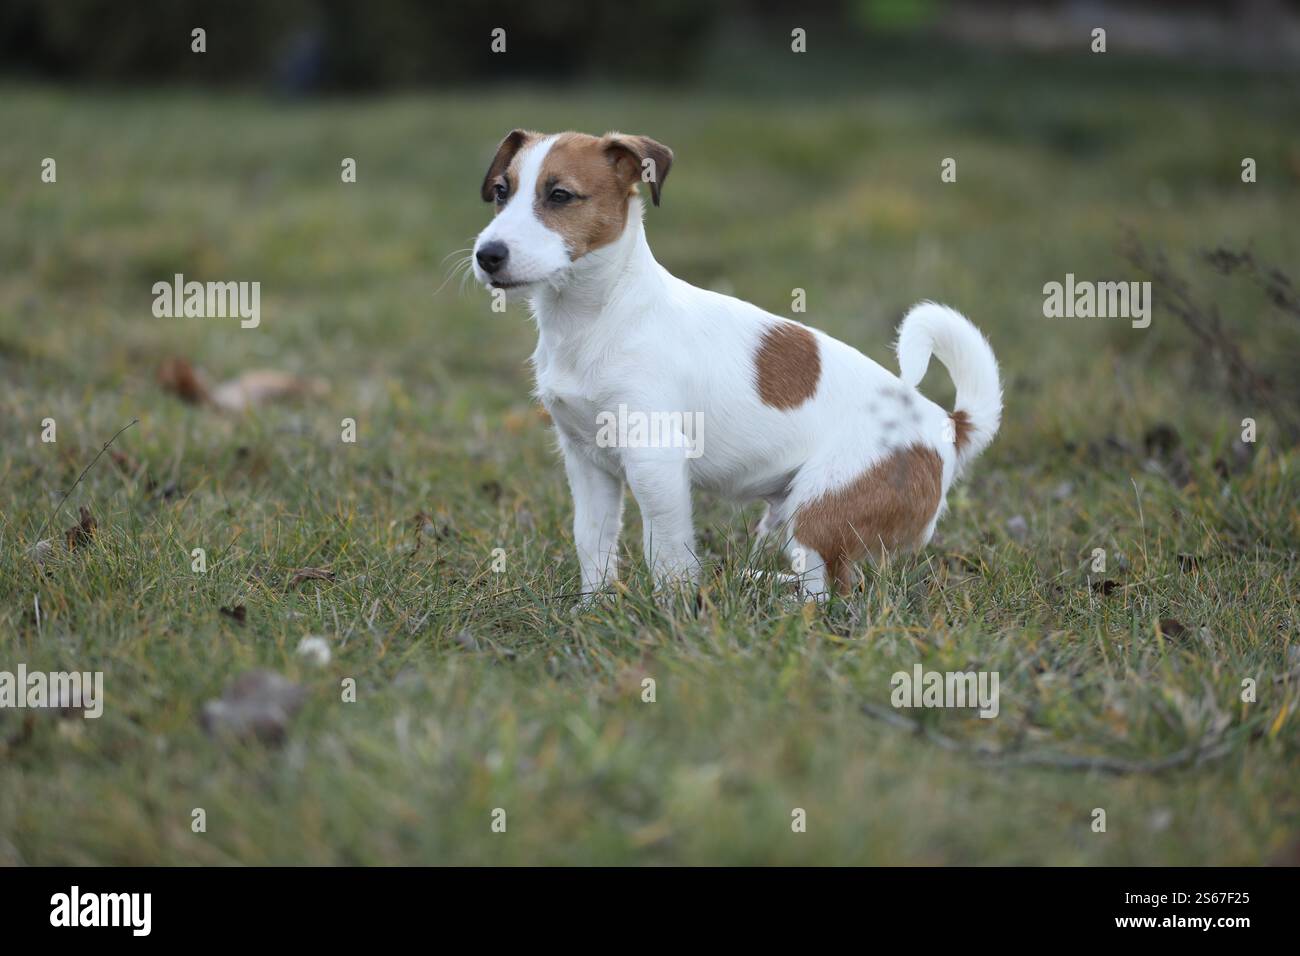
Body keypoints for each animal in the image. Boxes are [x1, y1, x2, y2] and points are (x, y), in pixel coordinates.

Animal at [473, 130, 998, 600]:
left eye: (559, 195)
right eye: (501, 192)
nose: (486, 255)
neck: (599, 315)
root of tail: (949, 424)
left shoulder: (655, 459)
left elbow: (667, 555)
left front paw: (673, 616)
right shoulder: (586, 462)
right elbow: (594, 544)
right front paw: (594, 611)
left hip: (820, 504)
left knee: (832, 592)